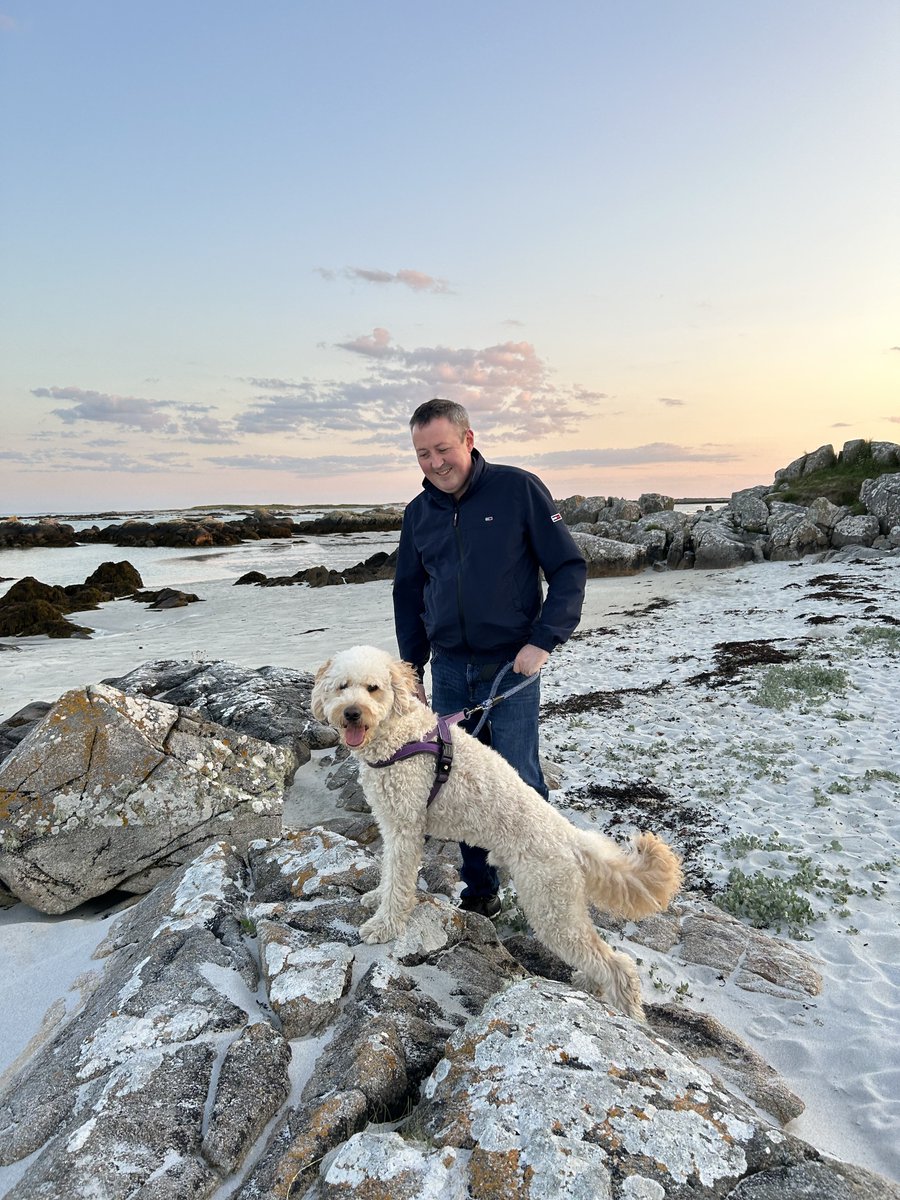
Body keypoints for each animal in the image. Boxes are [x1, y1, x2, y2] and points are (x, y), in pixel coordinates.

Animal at [312, 643, 681, 1017]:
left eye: (373, 688)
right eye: (343, 687)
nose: (352, 713)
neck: (400, 737)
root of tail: (571, 838)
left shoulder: (405, 827)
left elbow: (400, 882)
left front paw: (384, 924)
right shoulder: (391, 826)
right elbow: (390, 872)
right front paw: (377, 896)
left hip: (551, 906)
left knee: (616, 964)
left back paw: (630, 1015)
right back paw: (588, 983)